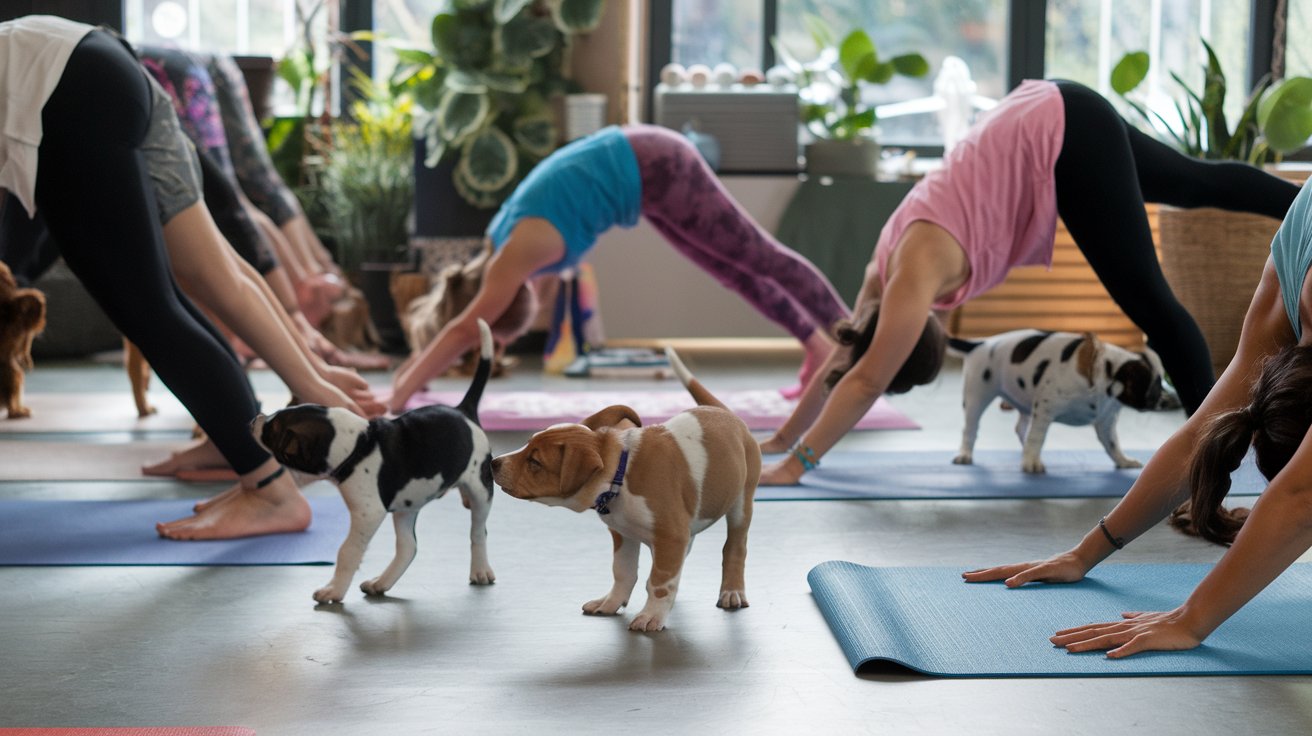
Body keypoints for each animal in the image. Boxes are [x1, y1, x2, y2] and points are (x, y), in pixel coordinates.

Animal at [249, 318, 493, 600]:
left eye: (273, 429)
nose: (254, 419)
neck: (358, 444)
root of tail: (463, 409)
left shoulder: (368, 513)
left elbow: (347, 551)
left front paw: (334, 590)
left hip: (481, 491)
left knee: (478, 532)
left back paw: (480, 569)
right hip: (407, 505)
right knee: (409, 547)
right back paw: (381, 583)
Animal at [493, 346, 760, 629]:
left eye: (535, 462)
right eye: (527, 443)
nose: (493, 463)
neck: (620, 474)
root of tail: (724, 412)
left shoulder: (670, 535)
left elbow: (660, 583)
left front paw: (652, 614)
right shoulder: (625, 534)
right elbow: (623, 571)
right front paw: (611, 602)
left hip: (741, 504)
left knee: (734, 548)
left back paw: (731, 591)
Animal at [949, 330, 1175, 472]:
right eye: (1153, 385)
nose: (1166, 400)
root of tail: (981, 343)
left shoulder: (1106, 422)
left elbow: (1113, 445)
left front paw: (1123, 461)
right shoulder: (1044, 411)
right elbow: (1037, 437)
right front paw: (1031, 463)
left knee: (1021, 428)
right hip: (976, 397)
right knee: (970, 429)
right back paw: (966, 455)